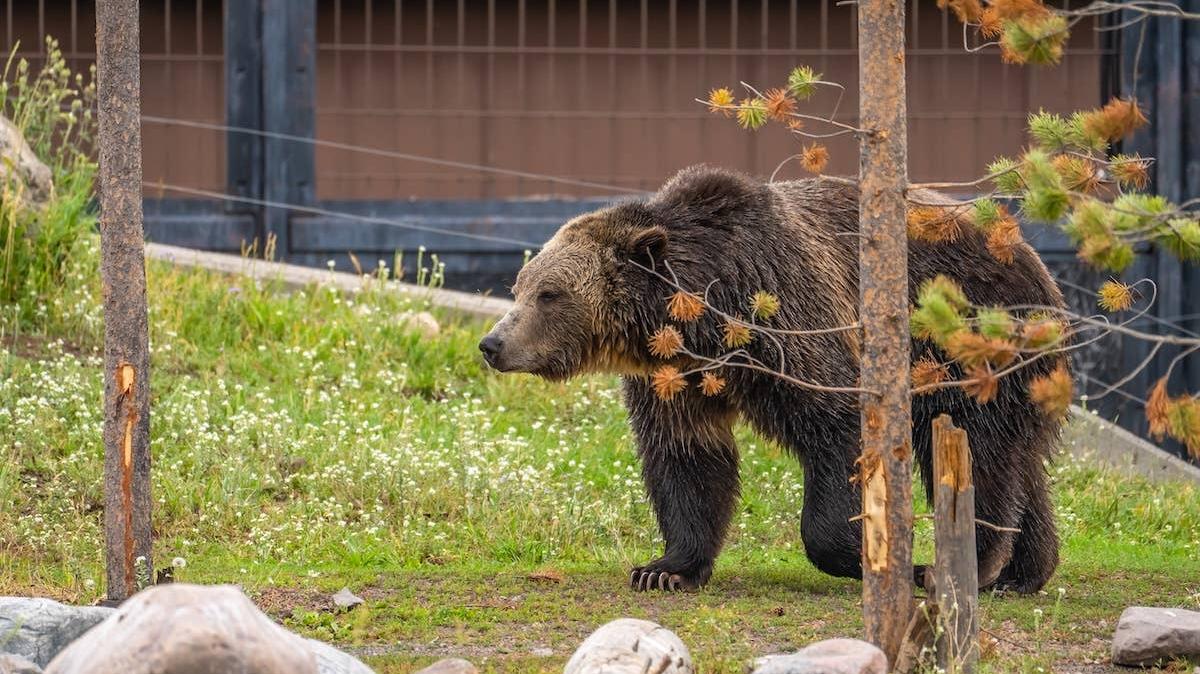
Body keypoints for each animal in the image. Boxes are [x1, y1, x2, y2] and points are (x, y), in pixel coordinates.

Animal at [479, 165, 1065, 594]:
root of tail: (1027, 250)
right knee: (1015, 461)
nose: (493, 343)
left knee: (980, 452)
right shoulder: (677, 375)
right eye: (520, 286)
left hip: (971, 338)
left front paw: (873, 555)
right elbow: (687, 457)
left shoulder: (788, 315)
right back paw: (1021, 573)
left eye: (550, 293)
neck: (707, 319)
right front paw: (664, 568)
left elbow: (835, 426)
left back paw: (968, 565)